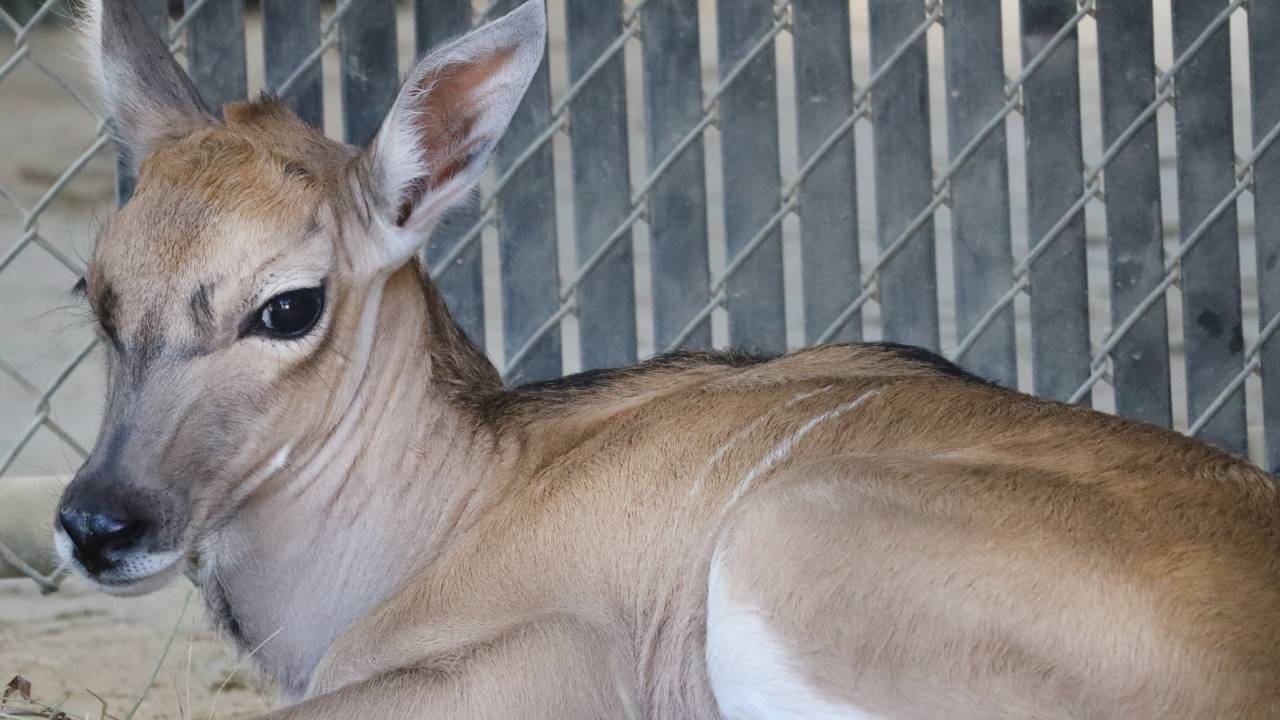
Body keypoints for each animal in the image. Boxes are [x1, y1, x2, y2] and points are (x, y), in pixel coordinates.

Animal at [52, 0, 1280, 712]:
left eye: (289, 305)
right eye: (95, 289)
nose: (98, 522)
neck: (461, 501)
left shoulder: (546, 669)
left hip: (785, 545)